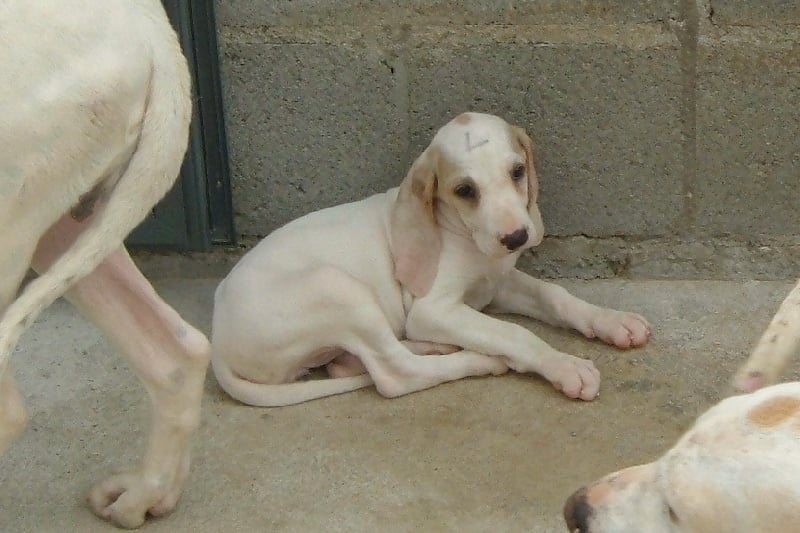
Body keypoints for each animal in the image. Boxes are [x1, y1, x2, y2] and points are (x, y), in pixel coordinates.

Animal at [211, 112, 650, 407]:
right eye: (465, 190)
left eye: (517, 171)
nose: (516, 238)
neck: (464, 238)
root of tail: (217, 342)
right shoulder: (434, 309)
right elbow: (514, 333)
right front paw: (563, 364)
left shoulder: (496, 286)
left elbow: (555, 296)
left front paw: (612, 321)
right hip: (336, 287)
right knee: (394, 372)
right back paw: (478, 359)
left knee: (362, 361)